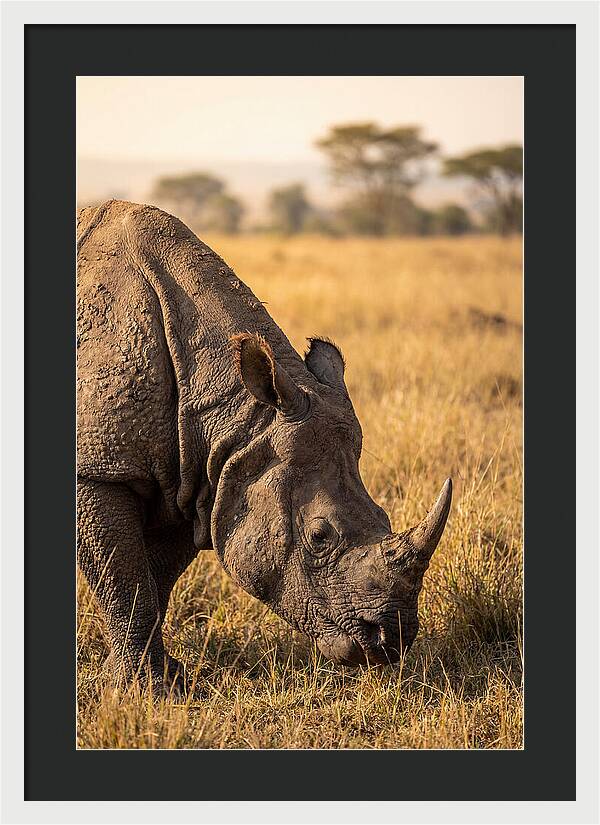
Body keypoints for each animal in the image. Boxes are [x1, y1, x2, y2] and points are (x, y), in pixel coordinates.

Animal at [77, 200, 452, 690]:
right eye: (319, 537)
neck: (238, 418)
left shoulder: (197, 477)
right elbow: (126, 583)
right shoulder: (100, 469)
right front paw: (147, 691)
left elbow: (152, 581)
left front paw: (154, 680)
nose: (391, 642)